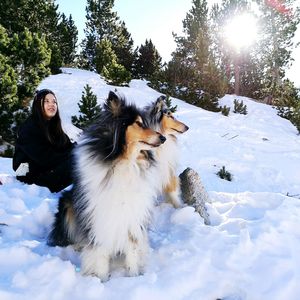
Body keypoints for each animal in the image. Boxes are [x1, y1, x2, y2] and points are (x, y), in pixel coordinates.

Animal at [49, 92, 166, 282]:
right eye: (139, 123)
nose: (163, 138)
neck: (125, 162)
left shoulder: (132, 216)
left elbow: (132, 250)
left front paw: (134, 277)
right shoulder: (100, 216)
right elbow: (101, 252)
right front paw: (102, 280)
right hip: (67, 204)